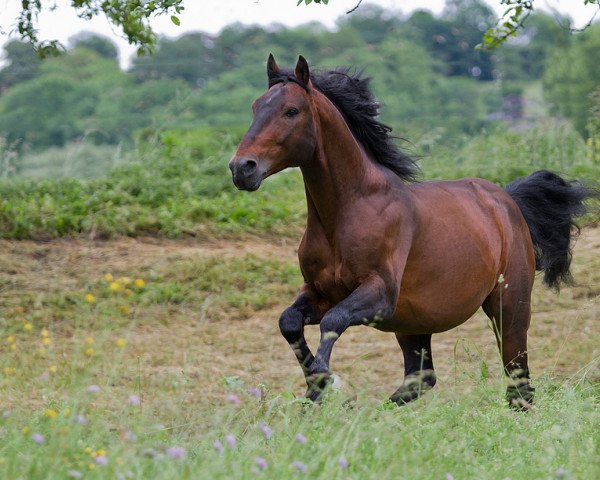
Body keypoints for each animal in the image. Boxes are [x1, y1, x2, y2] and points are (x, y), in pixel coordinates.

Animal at [227, 56, 596, 408]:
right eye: (255, 107)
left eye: (292, 110)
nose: (242, 168)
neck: (347, 213)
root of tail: (507, 202)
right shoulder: (319, 292)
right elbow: (288, 321)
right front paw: (317, 387)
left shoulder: (379, 293)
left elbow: (333, 321)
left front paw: (326, 381)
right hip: (412, 325)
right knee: (421, 379)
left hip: (509, 309)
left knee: (518, 384)